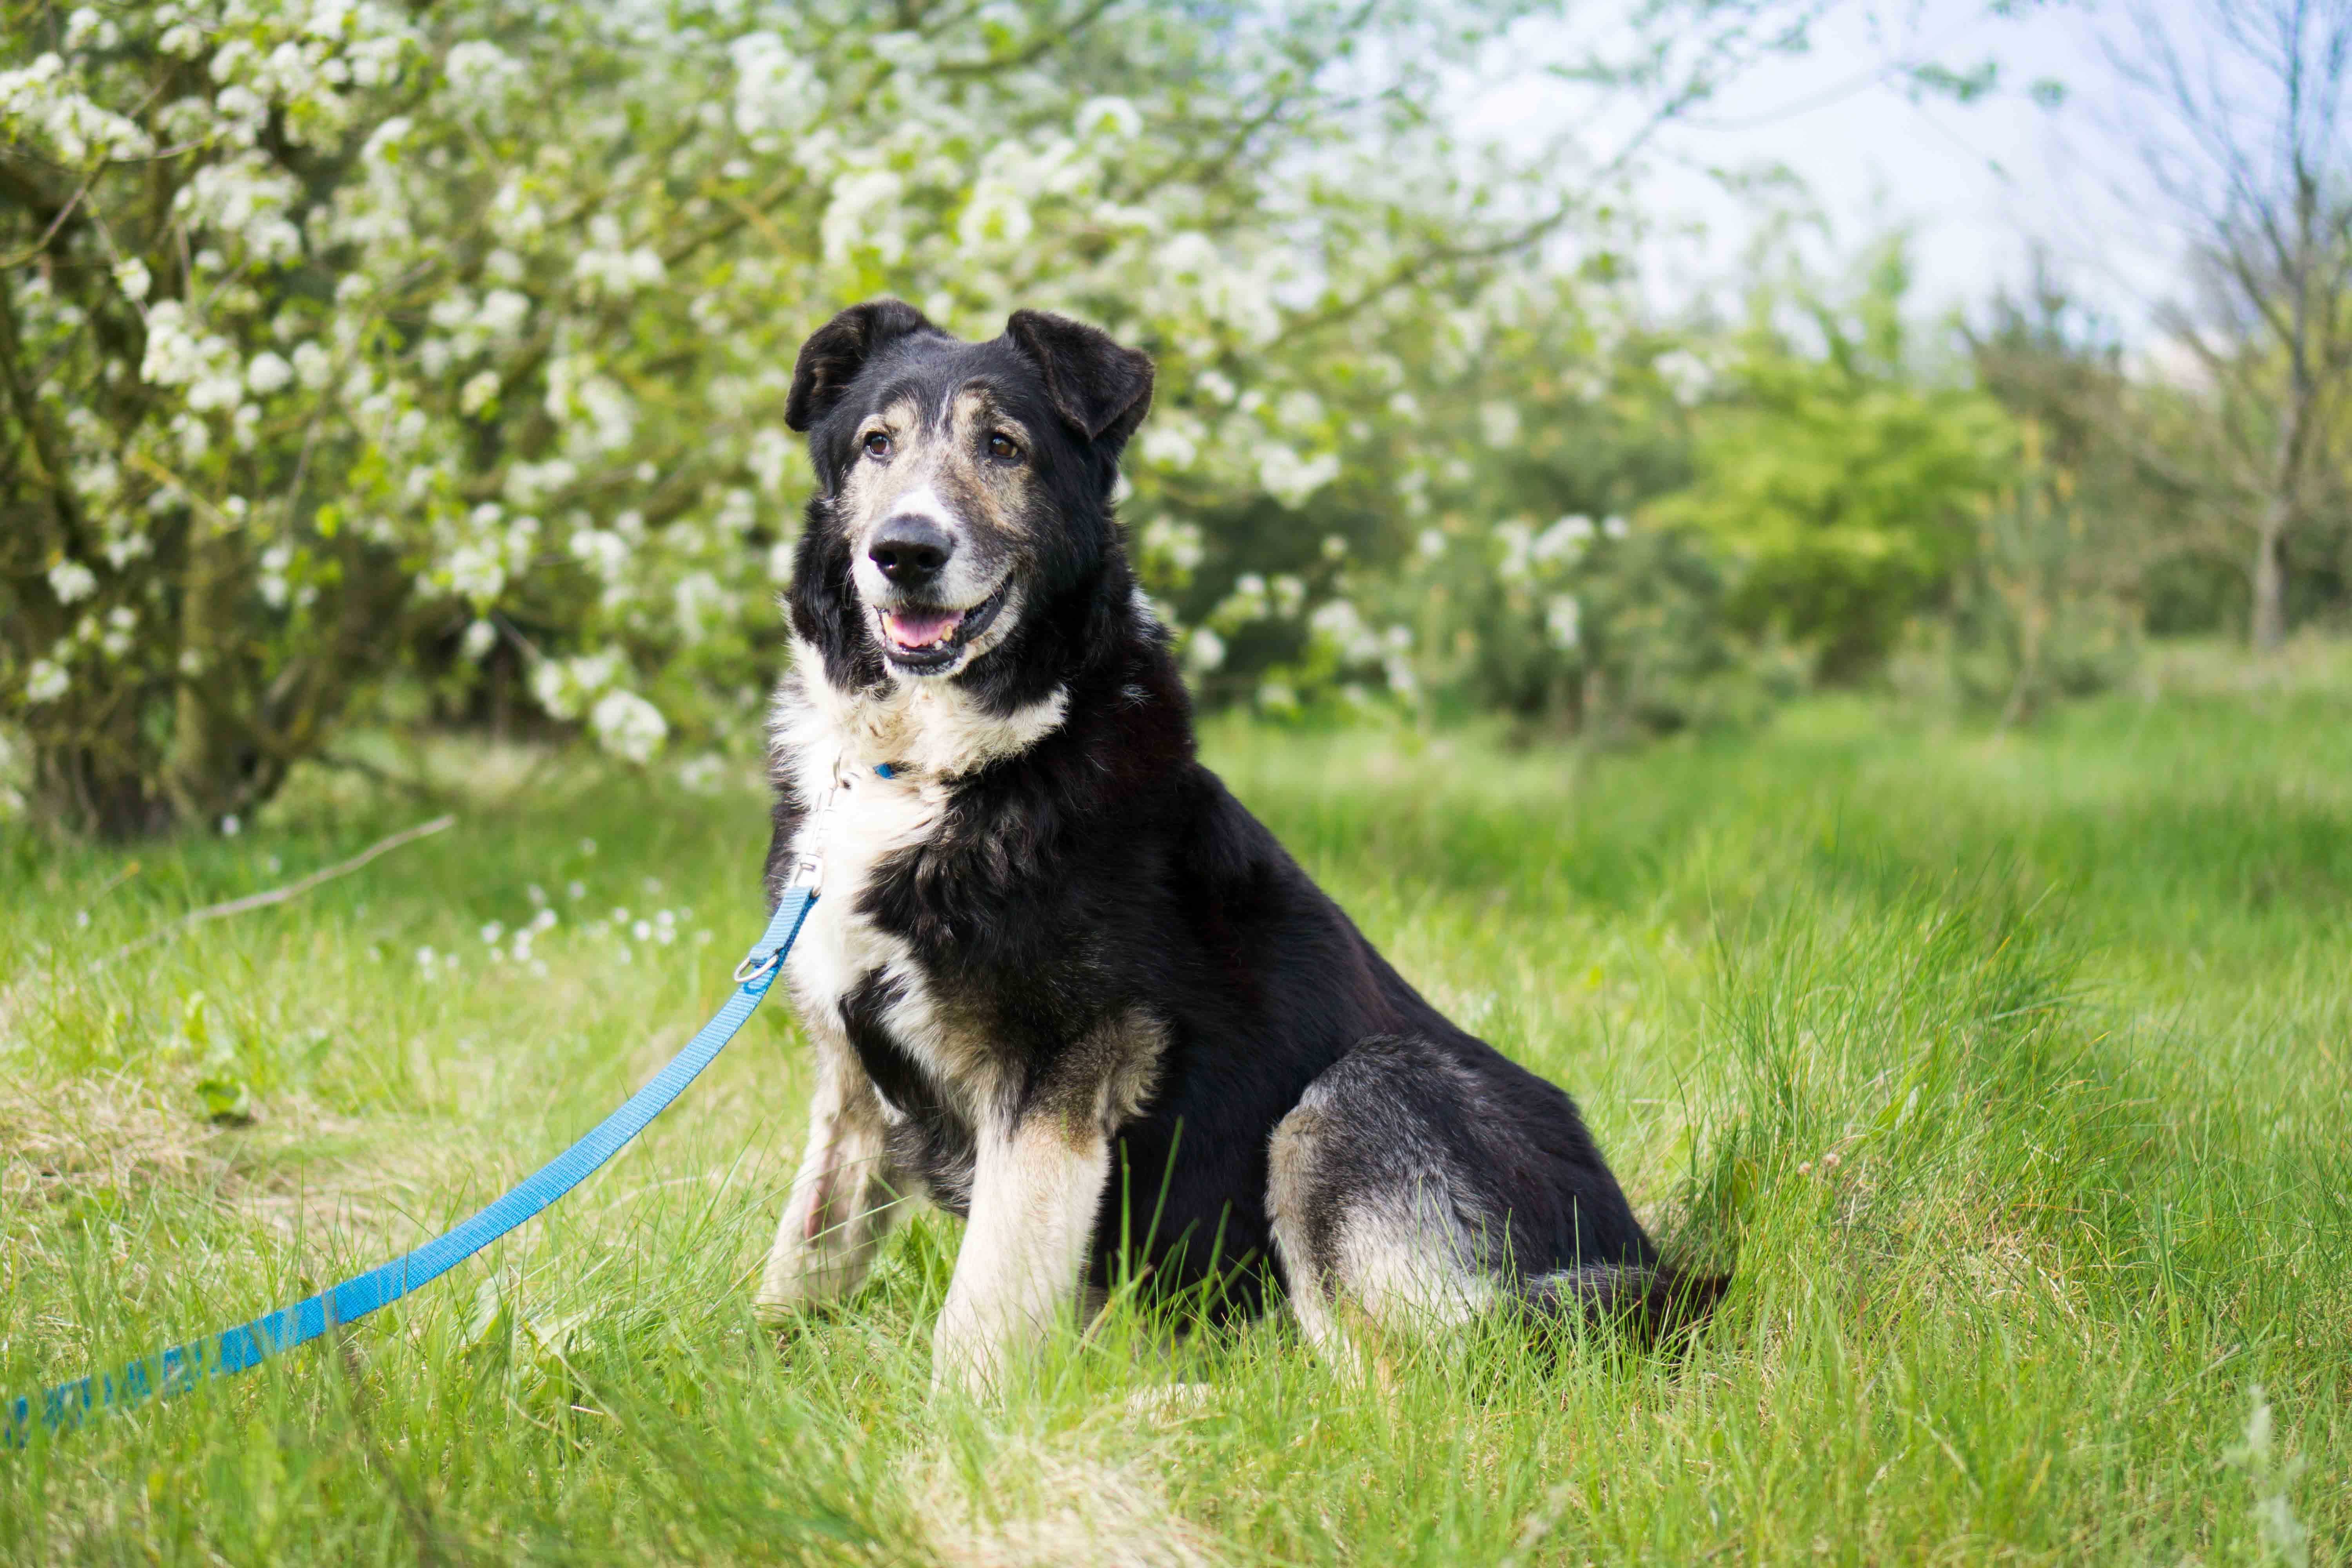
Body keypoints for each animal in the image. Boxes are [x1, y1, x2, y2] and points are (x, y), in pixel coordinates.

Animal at [757, 301, 1731, 1392]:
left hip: (1351, 1101)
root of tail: (1634, 1260)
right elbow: (799, 1264)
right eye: (875, 445)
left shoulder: (1055, 1080)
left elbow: (979, 1316)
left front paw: (964, 1435)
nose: (905, 551)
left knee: (1394, 1395)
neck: (928, 767)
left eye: (1002, 447)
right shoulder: (851, 1085)